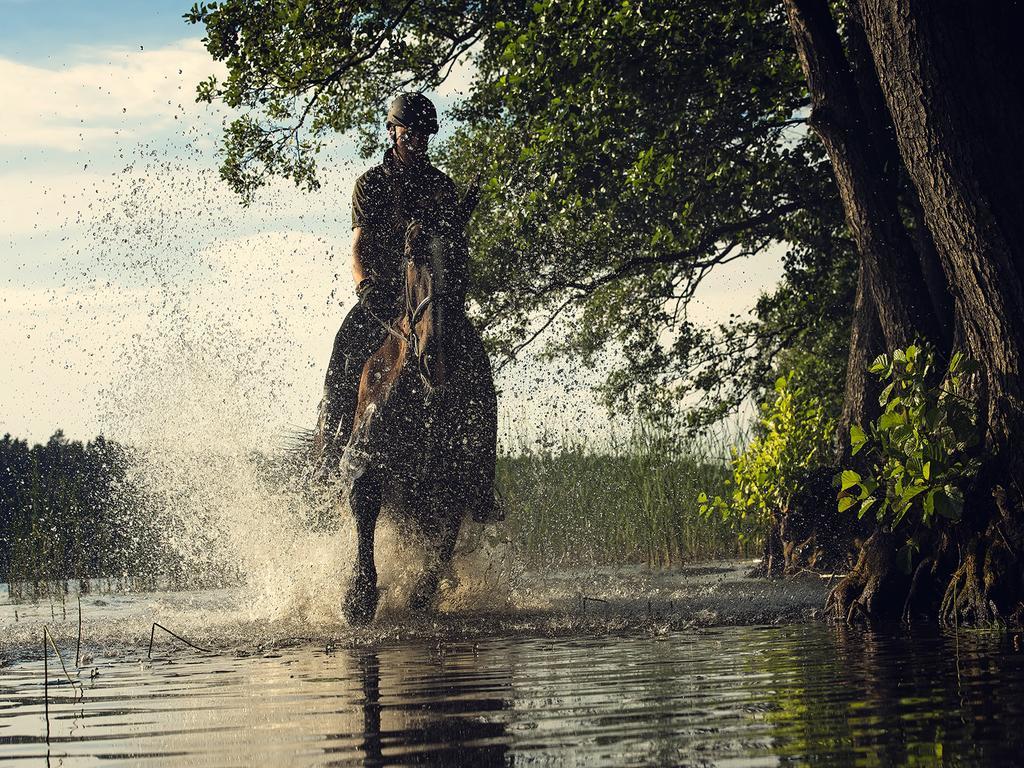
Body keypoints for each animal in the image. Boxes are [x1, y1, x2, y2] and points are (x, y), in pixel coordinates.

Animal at [342, 217, 497, 626]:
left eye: (461, 253)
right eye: (413, 256)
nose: (436, 358)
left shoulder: (457, 478)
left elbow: (444, 542)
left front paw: (420, 593)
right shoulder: (367, 459)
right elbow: (365, 508)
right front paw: (358, 598)